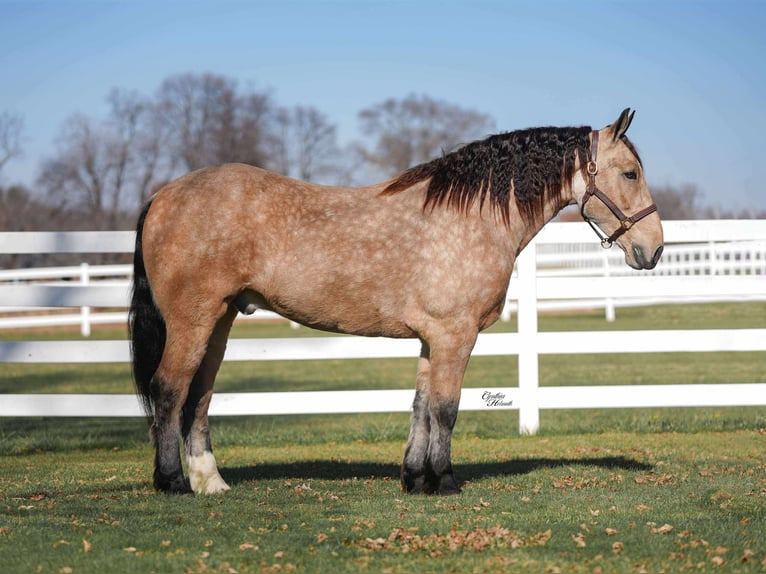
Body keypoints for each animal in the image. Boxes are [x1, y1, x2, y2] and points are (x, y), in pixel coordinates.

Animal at [129, 108, 663, 495]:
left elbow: (420, 406)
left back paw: (211, 482)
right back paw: (173, 482)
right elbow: (446, 408)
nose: (653, 249)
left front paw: (415, 477)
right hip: (193, 320)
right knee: (170, 390)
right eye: (630, 173)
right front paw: (445, 481)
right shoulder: (454, 334)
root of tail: (163, 196)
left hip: (219, 321)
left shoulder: (432, 338)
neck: (471, 217)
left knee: (199, 396)